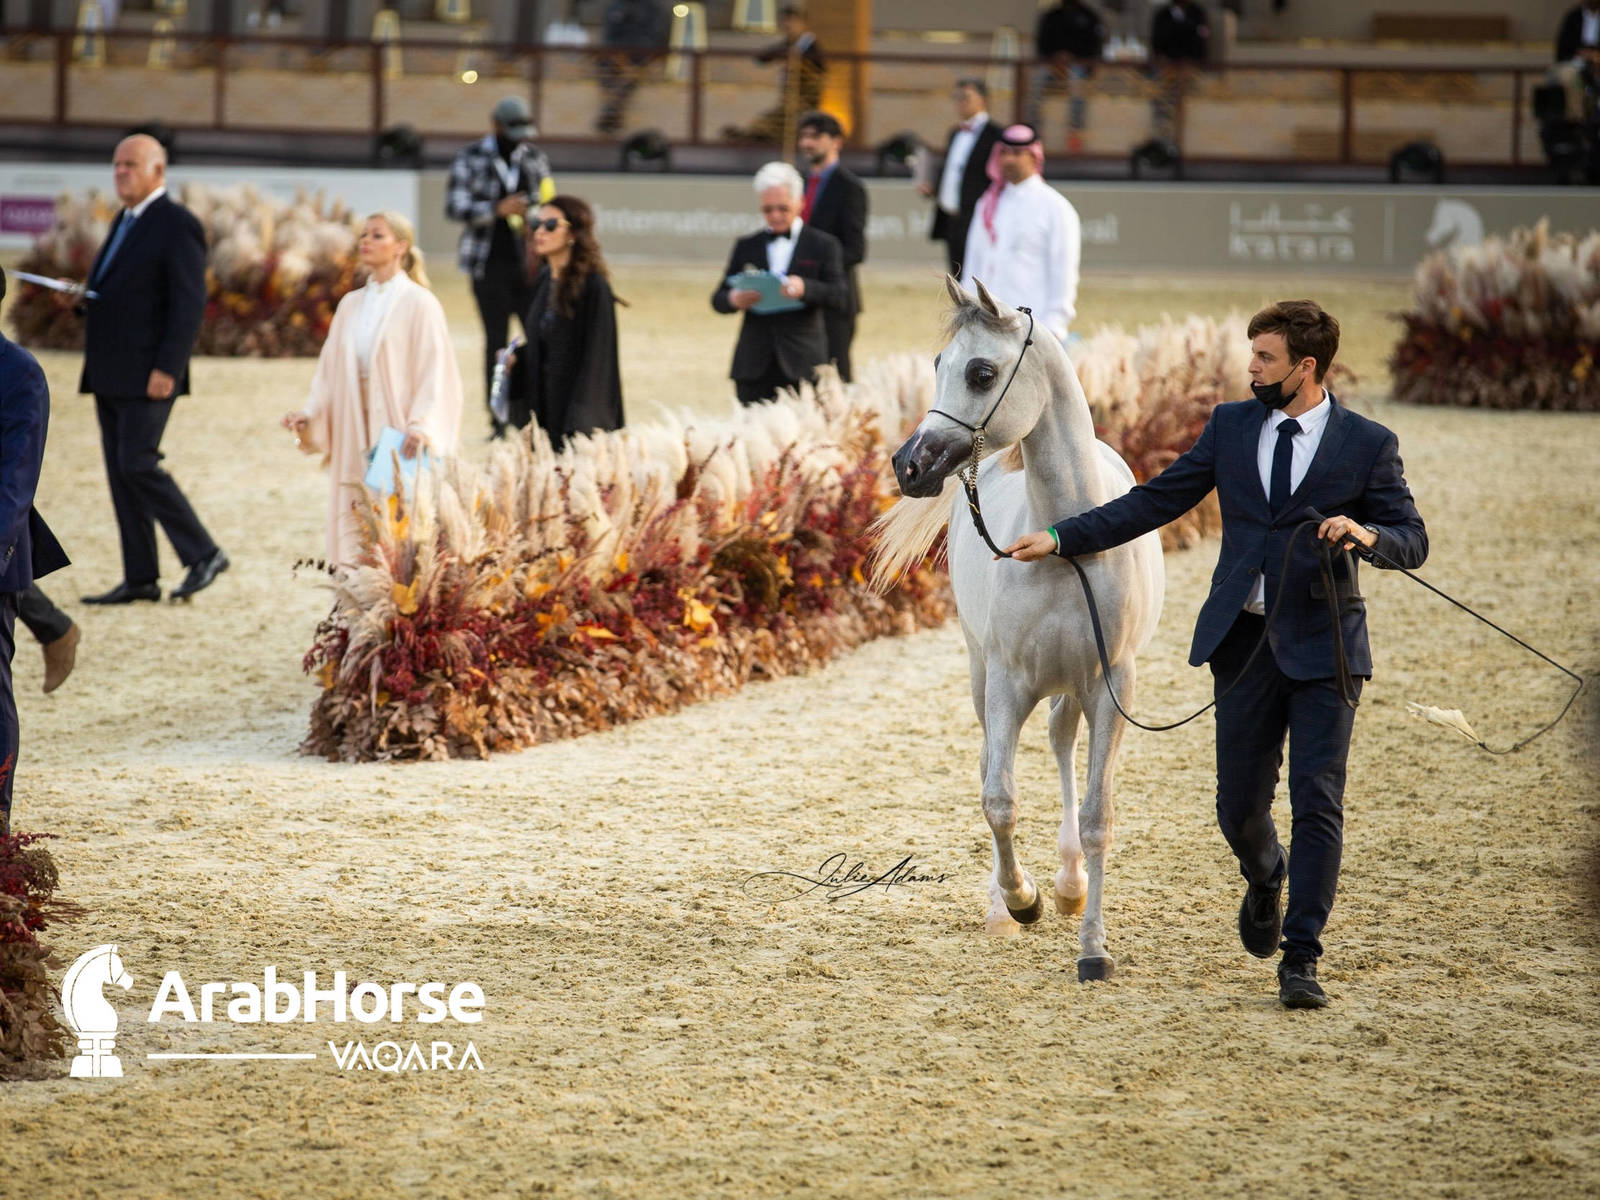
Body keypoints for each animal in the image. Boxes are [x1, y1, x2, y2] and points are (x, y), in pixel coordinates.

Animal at [877, 278, 1164, 981]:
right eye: (938, 364)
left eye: (981, 372)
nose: (908, 465)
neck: (1066, 540)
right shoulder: (1007, 684)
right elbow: (999, 798)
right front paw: (1019, 899)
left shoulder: (1111, 688)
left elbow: (1097, 816)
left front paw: (1093, 946)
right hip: (983, 672)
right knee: (994, 763)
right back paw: (1012, 902)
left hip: (1073, 687)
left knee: (1062, 744)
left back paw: (1069, 884)